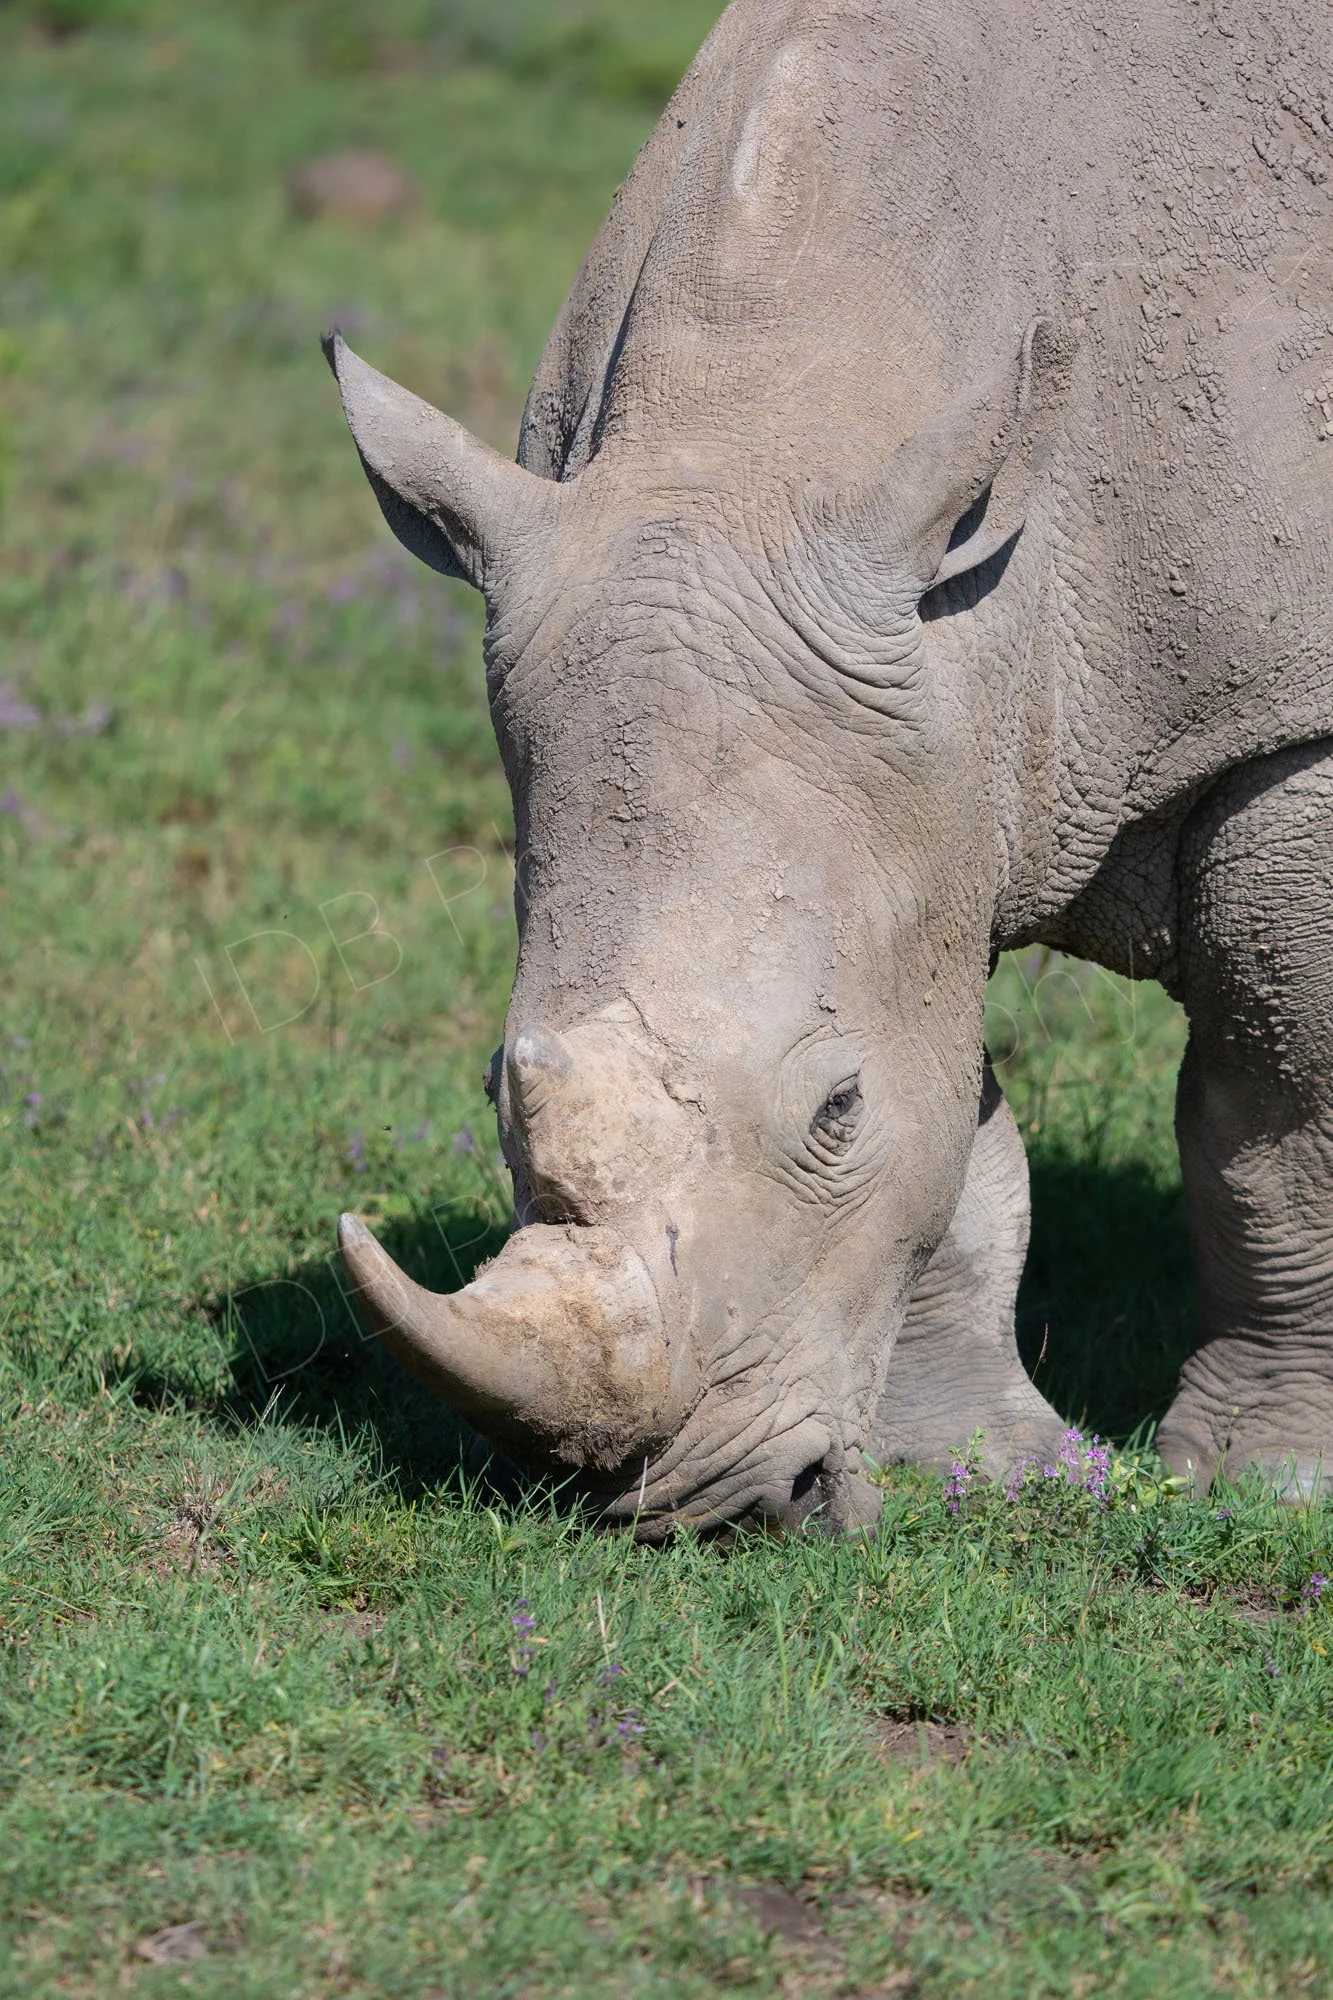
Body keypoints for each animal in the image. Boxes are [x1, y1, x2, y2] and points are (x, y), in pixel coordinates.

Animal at [329, 0, 1333, 1530]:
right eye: (499, 1087)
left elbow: (1281, 1119)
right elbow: (960, 1132)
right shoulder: (932, 771)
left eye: (833, 1107)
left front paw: (1272, 1481)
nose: (715, 1505)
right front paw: (982, 1470)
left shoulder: (1280, 713)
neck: (763, 432)